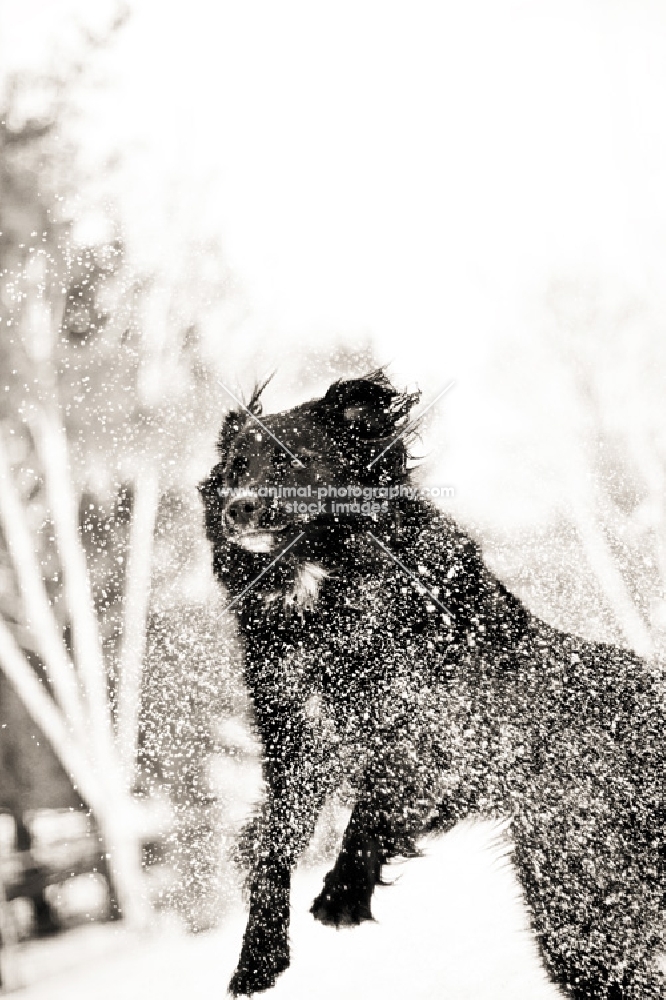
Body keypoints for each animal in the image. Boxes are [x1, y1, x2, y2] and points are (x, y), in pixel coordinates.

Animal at [201, 372, 664, 996]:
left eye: (291, 459)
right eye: (235, 467)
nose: (238, 509)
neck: (323, 598)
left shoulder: (443, 731)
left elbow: (375, 800)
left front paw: (342, 894)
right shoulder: (296, 745)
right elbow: (273, 848)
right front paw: (259, 952)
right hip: (577, 916)